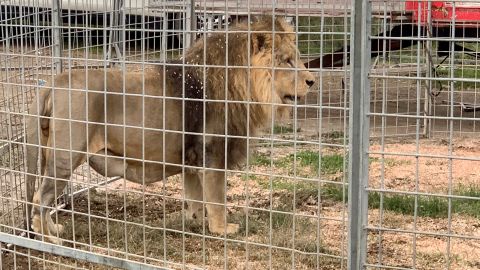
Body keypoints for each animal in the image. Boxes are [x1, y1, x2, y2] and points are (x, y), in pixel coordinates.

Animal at [23, 17, 316, 245]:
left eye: (297, 59)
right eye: (287, 61)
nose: (312, 81)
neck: (240, 84)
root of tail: (54, 82)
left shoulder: (192, 160)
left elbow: (196, 197)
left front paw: (196, 222)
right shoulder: (212, 154)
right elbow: (217, 199)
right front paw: (222, 230)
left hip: (50, 153)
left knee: (43, 199)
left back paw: (54, 230)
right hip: (66, 156)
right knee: (41, 197)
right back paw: (49, 240)